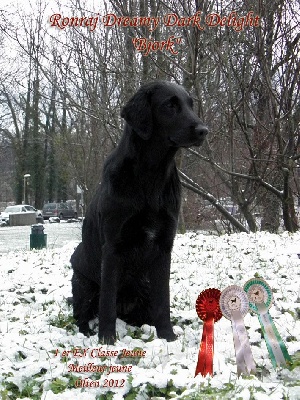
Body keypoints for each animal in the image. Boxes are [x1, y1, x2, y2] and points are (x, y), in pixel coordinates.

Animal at [70, 81, 207, 344]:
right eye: (170, 105)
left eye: (190, 104)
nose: (204, 130)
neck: (151, 177)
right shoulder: (113, 247)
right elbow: (107, 302)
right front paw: (107, 339)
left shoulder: (164, 246)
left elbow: (163, 300)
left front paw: (168, 337)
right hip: (82, 283)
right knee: (82, 314)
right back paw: (87, 331)